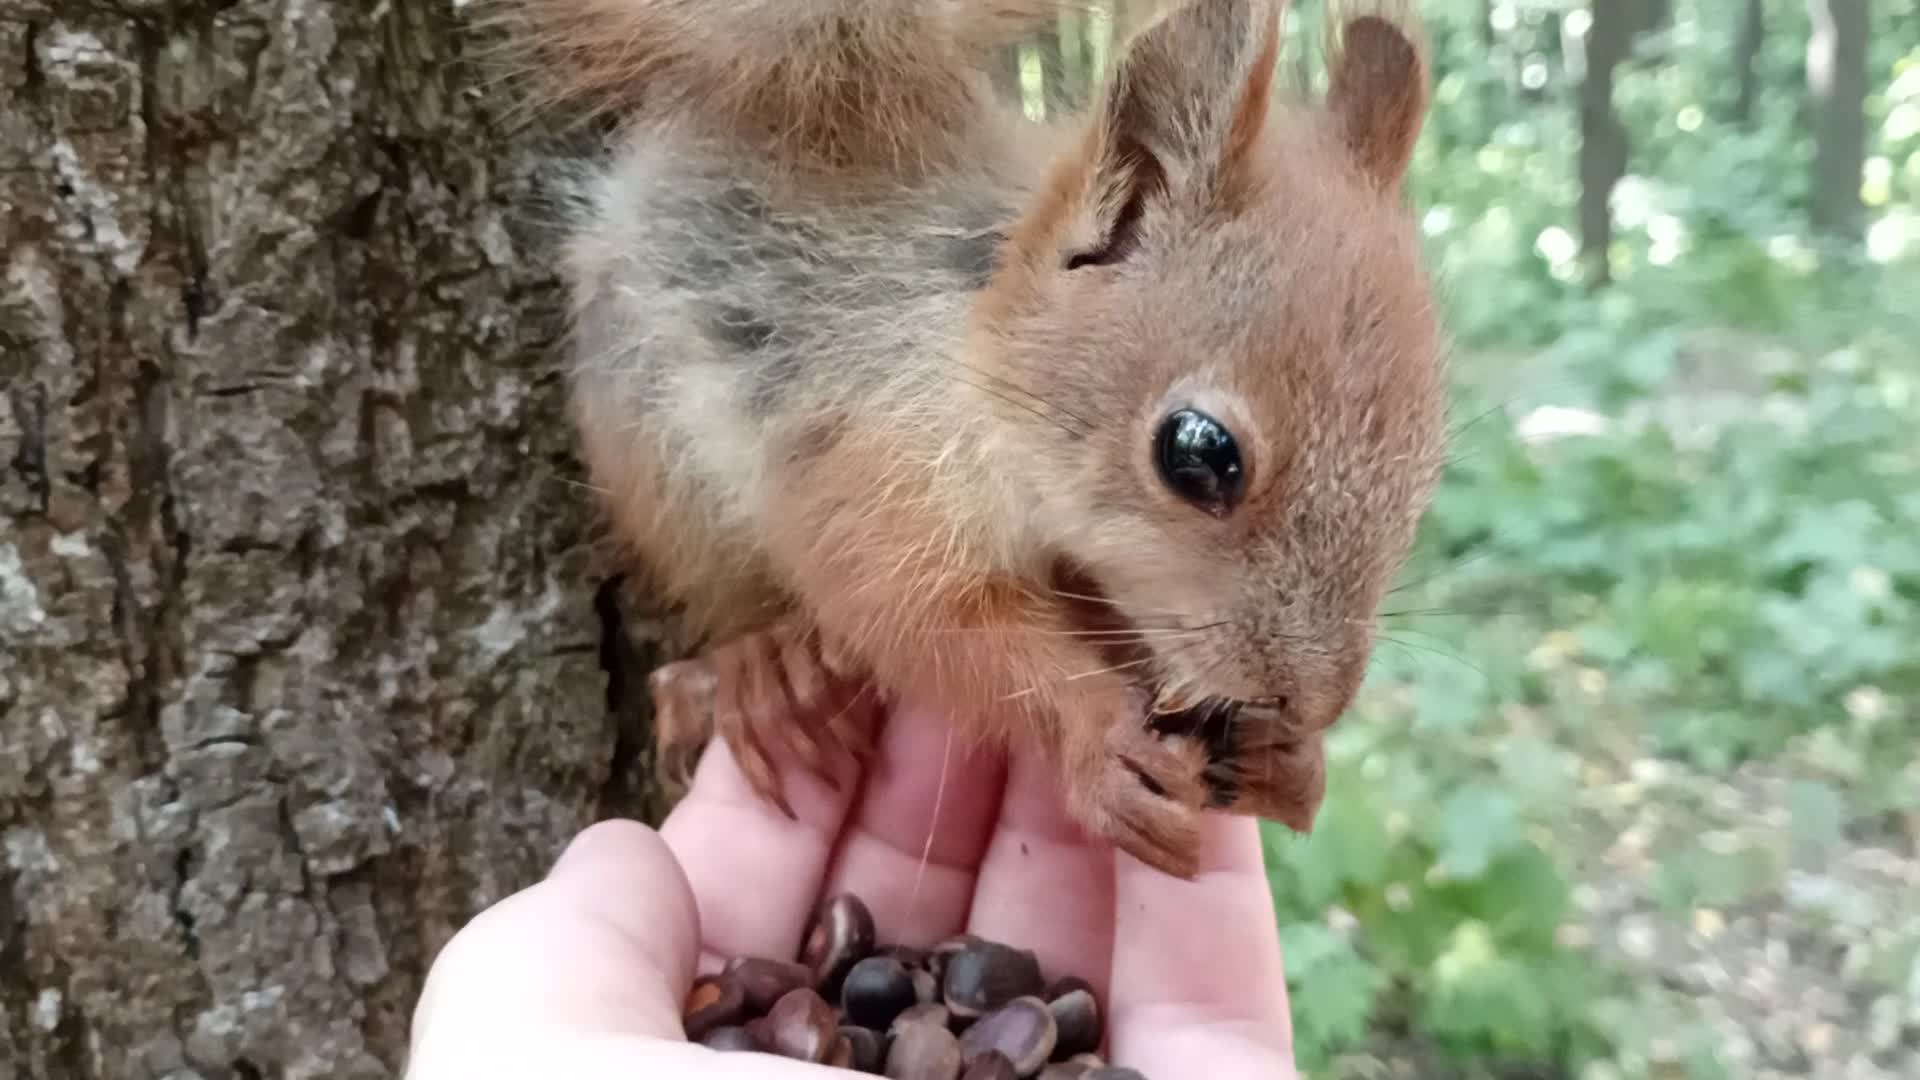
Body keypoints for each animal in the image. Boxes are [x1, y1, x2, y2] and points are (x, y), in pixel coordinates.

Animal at [495, 0, 1443, 876]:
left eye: (1428, 467)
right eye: (1197, 452)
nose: (1315, 703)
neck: (978, 343)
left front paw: (1290, 763)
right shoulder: (877, 459)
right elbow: (915, 616)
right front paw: (1098, 736)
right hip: (647, 441)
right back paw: (762, 668)